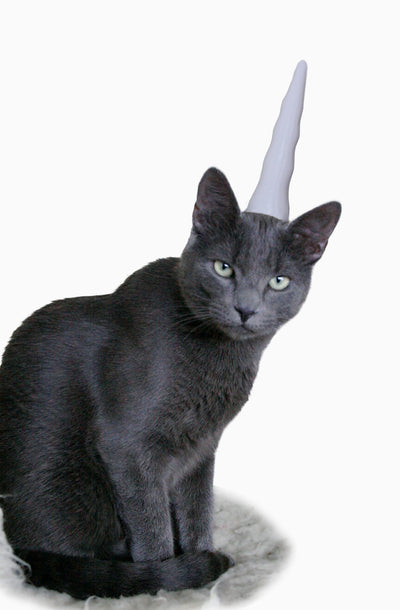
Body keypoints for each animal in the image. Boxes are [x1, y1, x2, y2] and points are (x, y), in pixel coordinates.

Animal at [0, 167, 341, 599]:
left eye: (278, 281)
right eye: (223, 268)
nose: (246, 309)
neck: (221, 361)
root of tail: (18, 550)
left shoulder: (201, 449)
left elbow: (198, 510)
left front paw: (200, 558)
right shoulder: (128, 448)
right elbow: (152, 524)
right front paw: (169, 579)